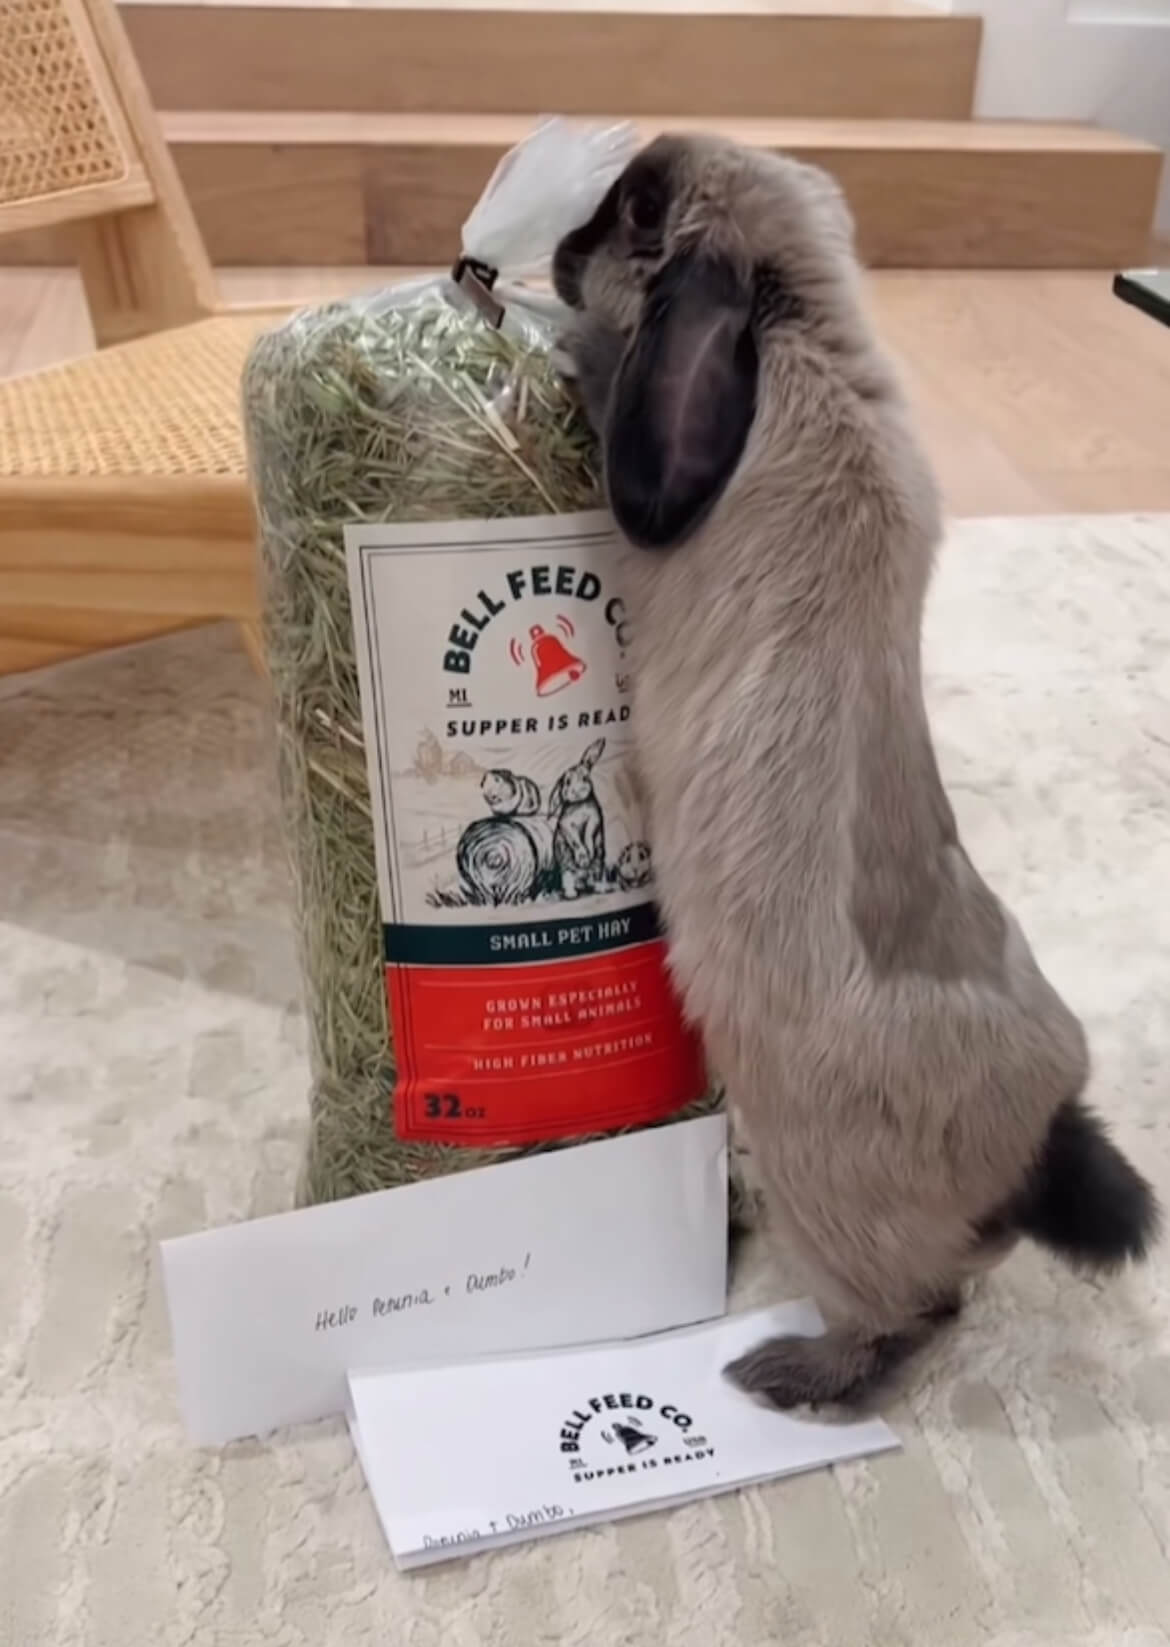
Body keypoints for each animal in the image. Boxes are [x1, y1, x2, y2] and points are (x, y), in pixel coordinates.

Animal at [547, 741, 606, 902]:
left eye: (585, 778)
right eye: (567, 782)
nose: (576, 791)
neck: (579, 804)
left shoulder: (594, 818)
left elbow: (589, 833)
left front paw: (588, 851)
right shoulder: (566, 824)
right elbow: (575, 840)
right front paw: (582, 856)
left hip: (599, 860)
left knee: (597, 873)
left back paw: (599, 887)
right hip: (566, 864)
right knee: (569, 878)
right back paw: (571, 893)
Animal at [553, 135, 1160, 1409]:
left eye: (638, 212)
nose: (560, 253)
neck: (805, 345)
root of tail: (1037, 1137)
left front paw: (570, 344)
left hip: (827, 1196)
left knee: (913, 1316)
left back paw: (785, 1372)